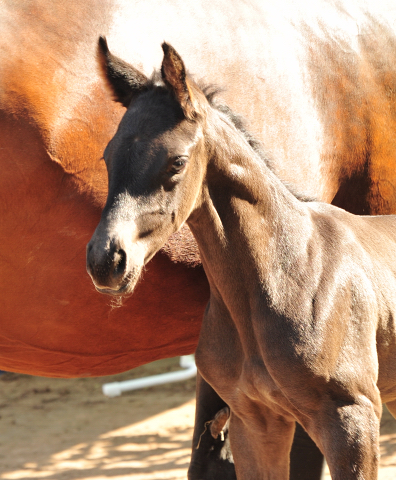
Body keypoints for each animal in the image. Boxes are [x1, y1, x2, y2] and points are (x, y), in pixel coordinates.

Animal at [87, 41, 396, 480]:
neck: (290, 273)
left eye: (177, 162)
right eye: (108, 156)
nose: (105, 260)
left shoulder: (352, 417)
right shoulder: (255, 421)